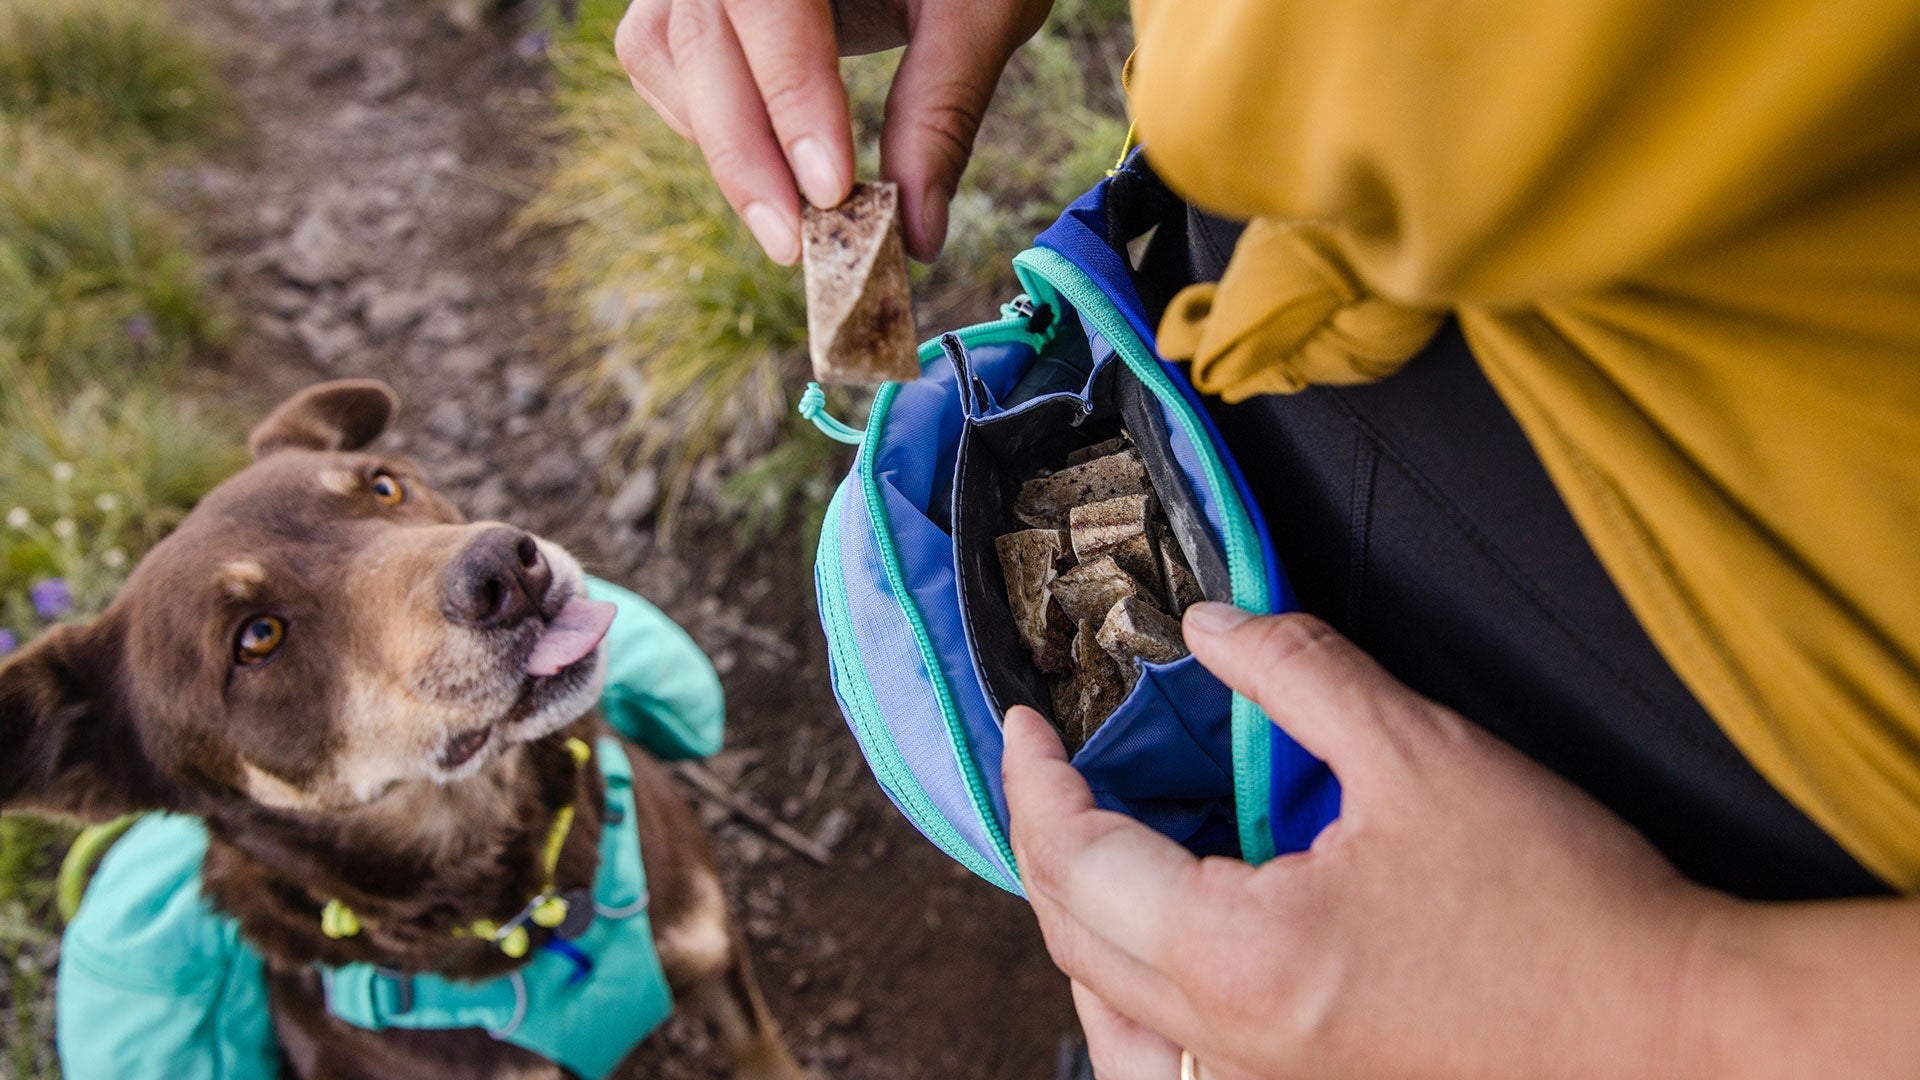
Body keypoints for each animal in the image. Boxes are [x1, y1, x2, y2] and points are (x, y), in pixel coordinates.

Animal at [0, 380, 802, 1076]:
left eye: (383, 485)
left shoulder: (713, 950)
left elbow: (767, 1051)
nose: (507, 568)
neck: (529, 903)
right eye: (256, 637)